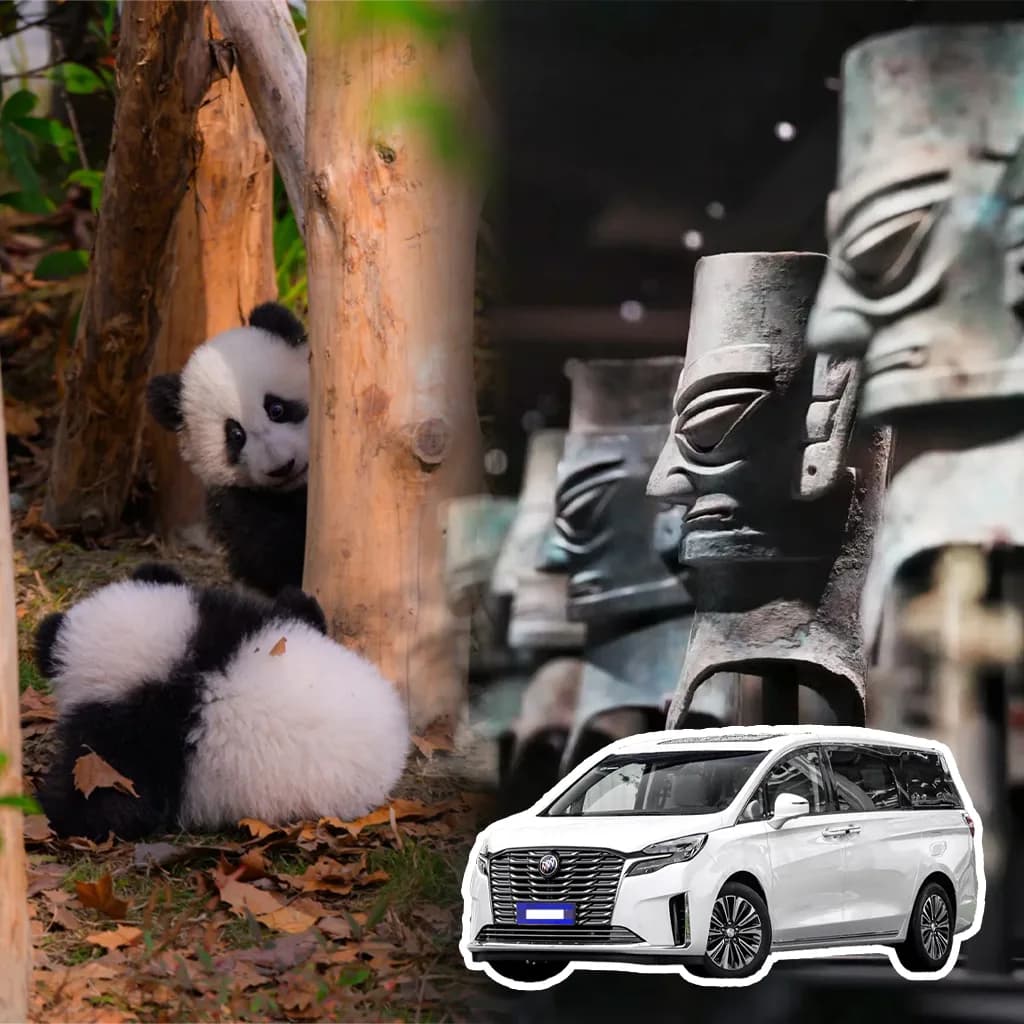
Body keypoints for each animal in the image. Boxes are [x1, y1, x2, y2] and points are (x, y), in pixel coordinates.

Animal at [146, 303, 310, 598]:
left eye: (276, 408)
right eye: (235, 435)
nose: (282, 467)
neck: (295, 490)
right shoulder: (235, 502)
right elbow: (267, 552)